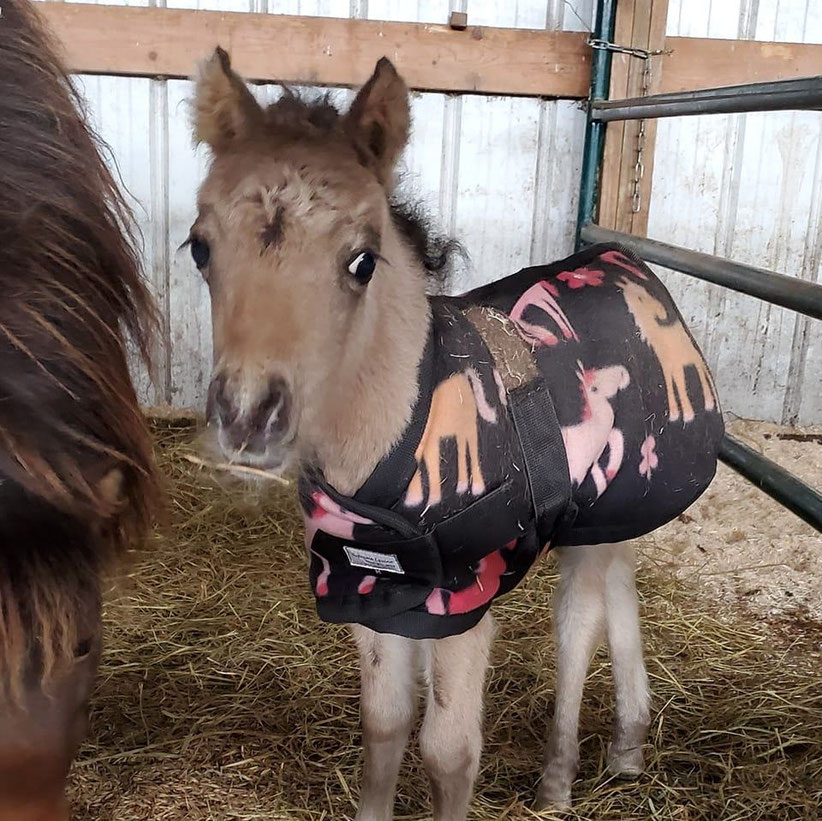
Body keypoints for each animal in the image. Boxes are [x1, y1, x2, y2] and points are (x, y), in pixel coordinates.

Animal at [189, 49, 723, 819]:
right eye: (199, 248)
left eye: (362, 260)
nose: (246, 414)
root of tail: (627, 262)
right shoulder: (369, 585)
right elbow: (383, 722)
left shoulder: (464, 598)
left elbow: (448, 749)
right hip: (610, 514)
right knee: (620, 593)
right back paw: (626, 748)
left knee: (578, 623)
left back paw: (559, 778)